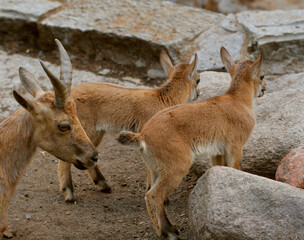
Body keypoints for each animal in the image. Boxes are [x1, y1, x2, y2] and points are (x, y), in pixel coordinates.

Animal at [50, 39, 201, 202]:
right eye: (198, 80)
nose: (198, 94)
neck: (163, 99)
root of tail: (67, 98)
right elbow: (151, 169)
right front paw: (160, 197)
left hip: (96, 133)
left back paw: (103, 185)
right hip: (84, 129)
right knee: (65, 160)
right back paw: (69, 194)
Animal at [118, 47, 266, 239]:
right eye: (262, 76)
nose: (264, 89)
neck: (239, 101)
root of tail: (142, 136)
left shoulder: (217, 152)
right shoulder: (235, 146)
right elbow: (235, 168)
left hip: (155, 168)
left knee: (149, 193)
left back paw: (167, 230)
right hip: (177, 166)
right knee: (153, 195)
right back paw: (169, 233)